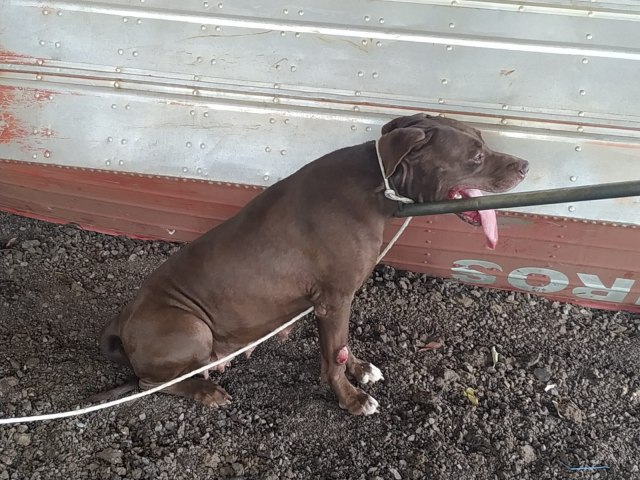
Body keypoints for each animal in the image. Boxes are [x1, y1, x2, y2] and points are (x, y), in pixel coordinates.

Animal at [91, 114, 528, 414]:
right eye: (476, 156)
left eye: (483, 142)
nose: (525, 165)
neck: (378, 186)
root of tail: (121, 320)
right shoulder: (333, 300)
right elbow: (332, 359)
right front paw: (352, 400)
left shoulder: (339, 301)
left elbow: (341, 346)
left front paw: (360, 369)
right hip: (191, 326)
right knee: (149, 382)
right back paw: (205, 390)